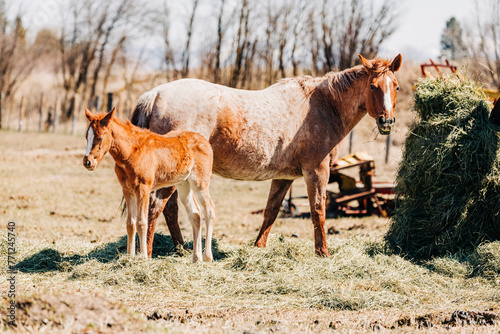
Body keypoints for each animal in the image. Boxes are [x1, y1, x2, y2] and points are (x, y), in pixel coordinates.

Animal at [82, 108, 215, 262]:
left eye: (100, 137)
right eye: (86, 136)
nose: (87, 162)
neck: (131, 152)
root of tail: (205, 142)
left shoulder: (143, 188)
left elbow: (142, 222)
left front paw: (143, 258)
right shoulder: (127, 190)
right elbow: (130, 223)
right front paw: (130, 256)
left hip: (200, 183)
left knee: (209, 210)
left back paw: (207, 257)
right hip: (184, 185)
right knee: (195, 214)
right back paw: (196, 258)